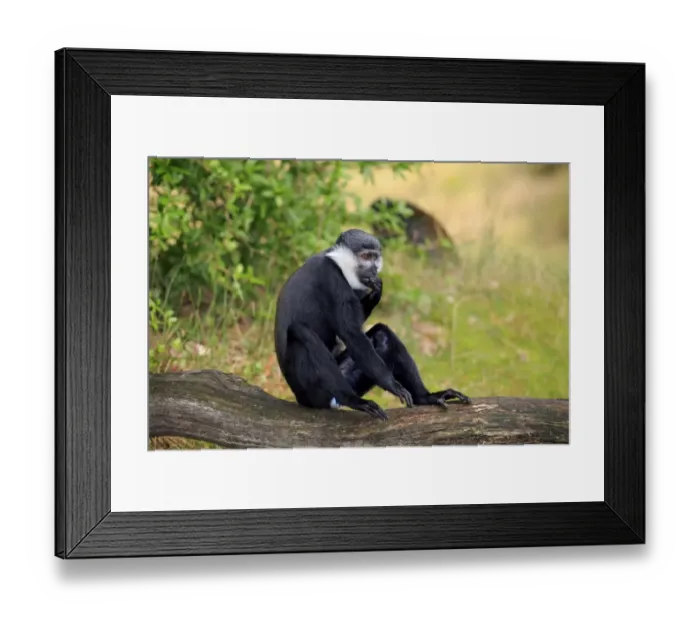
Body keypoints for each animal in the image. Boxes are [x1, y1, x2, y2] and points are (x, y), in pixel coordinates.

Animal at [274, 229, 471, 420]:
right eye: (366, 257)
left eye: (375, 257)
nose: (374, 268)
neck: (336, 261)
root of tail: (300, 397)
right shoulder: (332, 277)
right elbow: (351, 332)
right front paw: (392, 385)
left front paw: (377, 291)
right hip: (313, 389)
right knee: (300, 333)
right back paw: (352, 400)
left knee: (382, 335)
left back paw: (425, 397)